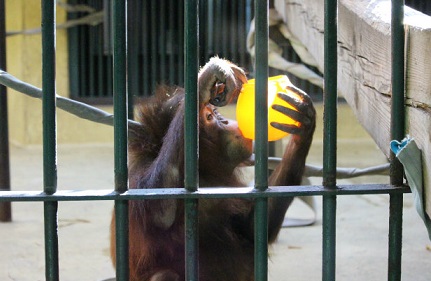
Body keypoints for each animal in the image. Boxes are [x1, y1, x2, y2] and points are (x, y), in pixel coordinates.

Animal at [109, 57, 316, 280]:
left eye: (215, 113)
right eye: (209, 118)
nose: (224, 120)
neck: (203, 172)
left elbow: (252, 228)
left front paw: (304, 126)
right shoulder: (137, 178)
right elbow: (160, 211)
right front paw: (205, 80)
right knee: (165, 274)